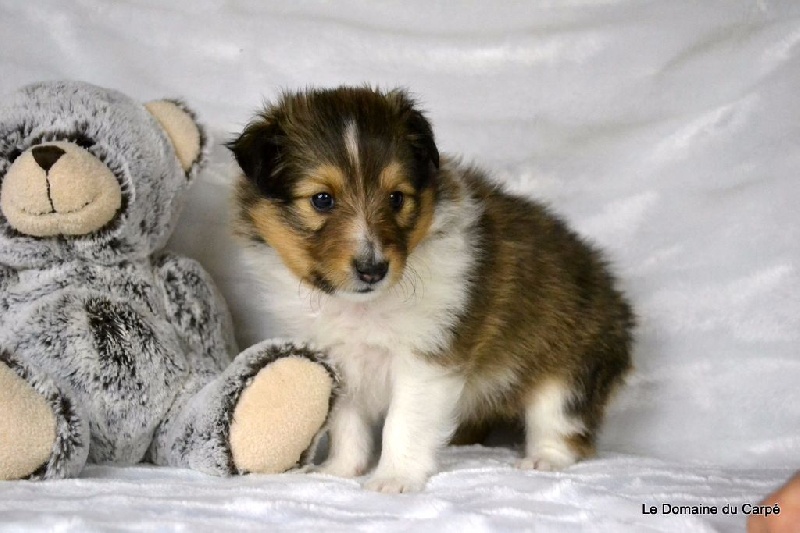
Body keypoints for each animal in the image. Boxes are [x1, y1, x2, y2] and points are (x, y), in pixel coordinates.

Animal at [227, 87, 634, 493]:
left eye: (396, 198)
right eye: (322, 200)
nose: (373, 270)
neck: (363, 307)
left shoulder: (427, 359)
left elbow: (401, 424)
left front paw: (393, 479)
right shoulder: (339, 362)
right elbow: (347, 425)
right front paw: (339, 471)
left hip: (570, 370)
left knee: (561, 425)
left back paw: (542, 460)